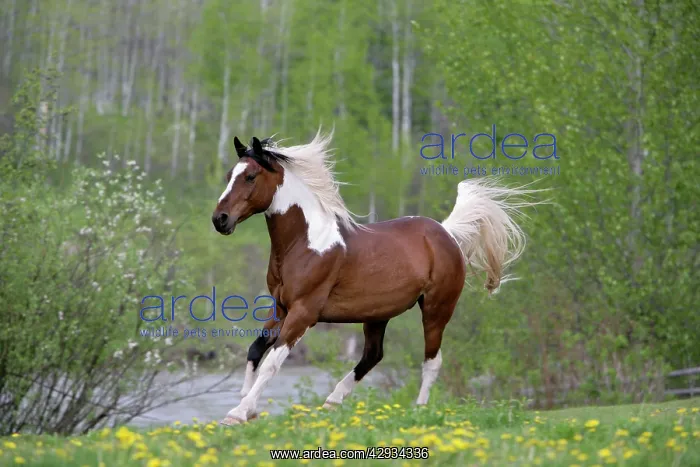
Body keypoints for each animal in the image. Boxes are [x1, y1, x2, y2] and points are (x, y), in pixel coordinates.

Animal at [212, 131, 535, 425]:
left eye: (250, 176)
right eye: (229, 175)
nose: (220, 220)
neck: (305, 244)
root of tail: (447, 233)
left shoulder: (304, 312)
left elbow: (272, 362)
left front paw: (237, 413)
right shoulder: (281, 307)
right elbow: (255, 350)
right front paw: (246, 406)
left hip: (436, 309)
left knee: (431, 360)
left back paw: (418, 410)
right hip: (378, 314)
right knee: (373, 355)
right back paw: (331, 402)